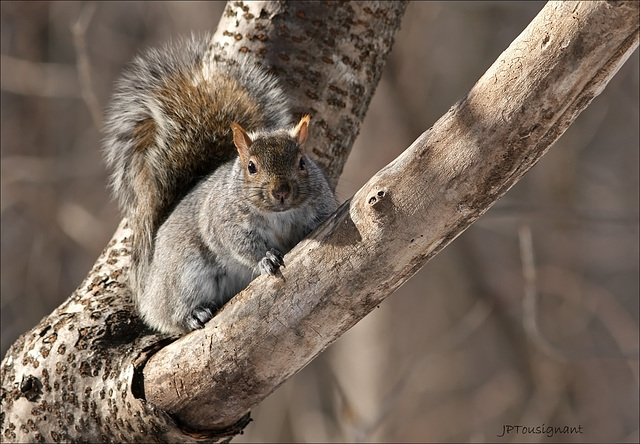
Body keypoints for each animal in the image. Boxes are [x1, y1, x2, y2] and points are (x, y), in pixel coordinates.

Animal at [102, 35, 338, 332]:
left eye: (302, 162)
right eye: (251, 167)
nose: (281, 191)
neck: (280, 215)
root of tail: (148, 290)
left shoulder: (320, 204)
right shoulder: (226, 222)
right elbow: (242, 245)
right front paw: (266, 259)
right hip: (184, 275)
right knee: (172, 316)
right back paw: (193, 315)